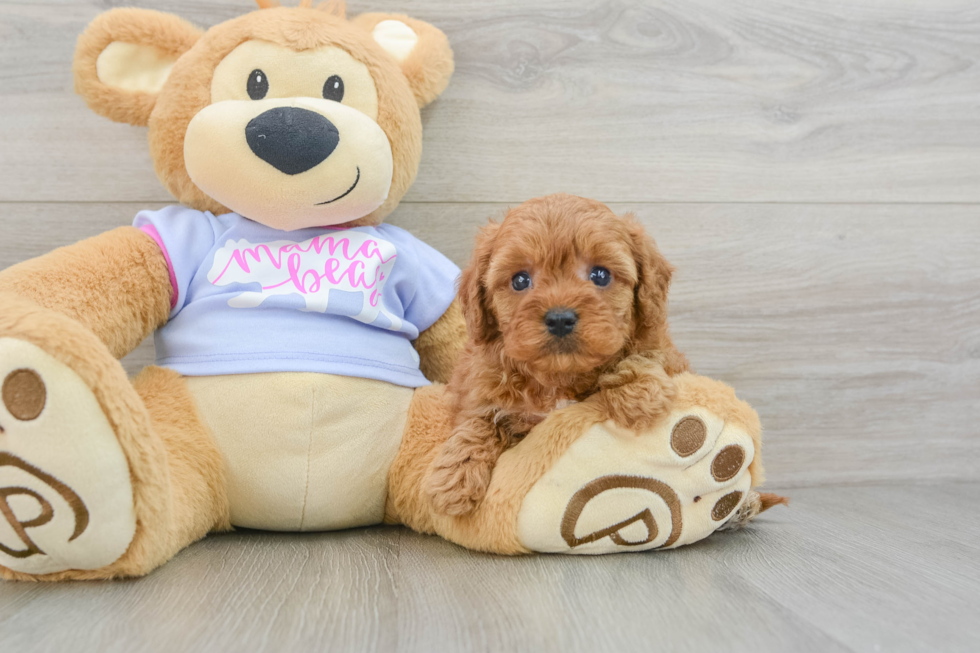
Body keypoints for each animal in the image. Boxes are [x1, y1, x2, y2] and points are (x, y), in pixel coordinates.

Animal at [426, 192, 688, 516]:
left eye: (600, 275)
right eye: (520, 280)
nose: (560, 318)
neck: (559, 376)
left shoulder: (662, 347)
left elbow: (645, 353)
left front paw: (638, 392)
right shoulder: (480, 388)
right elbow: (476, 422)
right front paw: (454, 479)